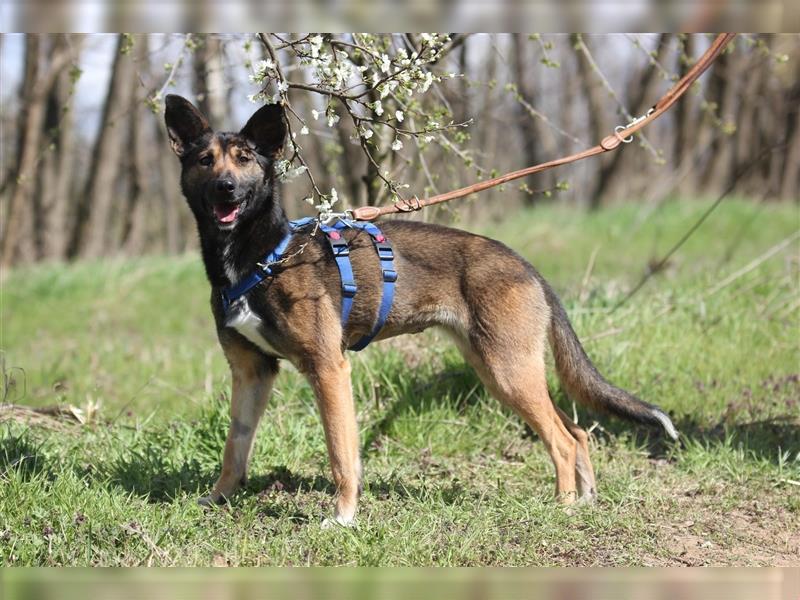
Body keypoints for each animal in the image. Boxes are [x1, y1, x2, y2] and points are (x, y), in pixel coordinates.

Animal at [166, 94, 680, 524]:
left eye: (246, 159)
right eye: (204, 160)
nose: (226, 189)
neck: (261, 254)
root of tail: (526, 266)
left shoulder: (328, 369)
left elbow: (341, 454)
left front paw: (343, 516)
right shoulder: (252, 372)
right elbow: (234, 449)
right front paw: (218, 499)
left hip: (508, 371)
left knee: (561, 438)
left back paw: (564, 506)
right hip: (500, 369)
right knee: (578, 432)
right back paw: (587, 498)